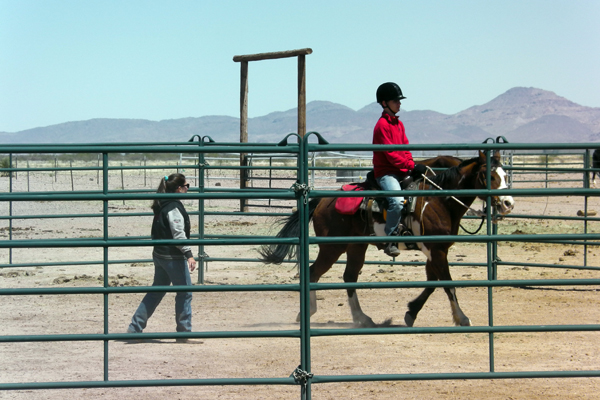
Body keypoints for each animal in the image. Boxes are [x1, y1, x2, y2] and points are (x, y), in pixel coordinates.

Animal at [258, 150, 516, 328]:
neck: (439, 201)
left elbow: (432, 282)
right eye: (488, 175)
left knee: (349, 277)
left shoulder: (435, 250)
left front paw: (411, 312)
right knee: (314, 272)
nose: (507, 203)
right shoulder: (437, 250)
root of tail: (322, 200)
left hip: (356, 247)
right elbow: (447, 284)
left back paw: (362, 318)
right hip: (333, 247)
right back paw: (307, 313)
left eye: (505, 175)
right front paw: (462, 318)